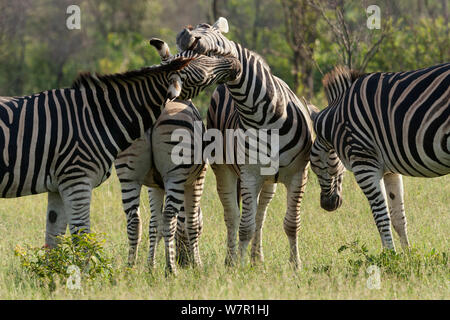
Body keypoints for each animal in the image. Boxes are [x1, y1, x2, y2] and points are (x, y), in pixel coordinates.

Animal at [0, 38, 239, 251]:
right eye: (201, 59)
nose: (234, 61)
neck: (97, 117)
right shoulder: (77, 180)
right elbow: (82, 239)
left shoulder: (58, 186)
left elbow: (53, 242)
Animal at [115, 99, 208, 274]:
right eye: (202, 228)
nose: (183, 263)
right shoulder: (198, 179)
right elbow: (191, 222)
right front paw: (198, 265)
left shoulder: (155, 187)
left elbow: (154, 224)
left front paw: (150, 266)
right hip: (175, 173)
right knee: (169, 218)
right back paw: (171, 270)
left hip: (128, 177)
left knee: (134, 220)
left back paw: (130, 268)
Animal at [176, 17, 316, 268]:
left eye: (206, 37)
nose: (184, 35)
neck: (266, 116)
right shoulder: (250, 174)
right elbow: (244, 226)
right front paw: (239, 268)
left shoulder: (299, 173)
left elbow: (291, 223)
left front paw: (295, 265)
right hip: (225, 171)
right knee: (233, 216)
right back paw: (231, 260)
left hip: (269, 181)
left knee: (261, 215)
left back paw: (257, 258)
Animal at [310, 63, 450, 251]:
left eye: (313, 165)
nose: (326, 205)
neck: (335, 122)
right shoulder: (390, 170)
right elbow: (398, 218)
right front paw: (407, 255)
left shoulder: (363, 164)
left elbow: (381, 218)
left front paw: (390, 255)